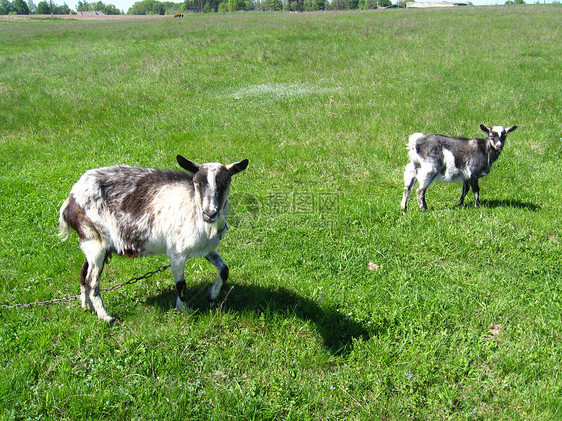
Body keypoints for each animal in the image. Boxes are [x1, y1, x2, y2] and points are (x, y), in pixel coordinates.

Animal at [58, 154, 247, 322]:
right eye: (197, 182)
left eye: (226, 182)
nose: (209, 213)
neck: (193, 207)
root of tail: (70, 200)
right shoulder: (177, 252)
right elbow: (181, 284)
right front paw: (183, 309)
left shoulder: (206, 249)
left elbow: (224, 270)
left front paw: (211, 296)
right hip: (96, 241)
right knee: (92, 281)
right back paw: (106, 317)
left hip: (91, 243)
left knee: (83, 272)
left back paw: (86, 306)